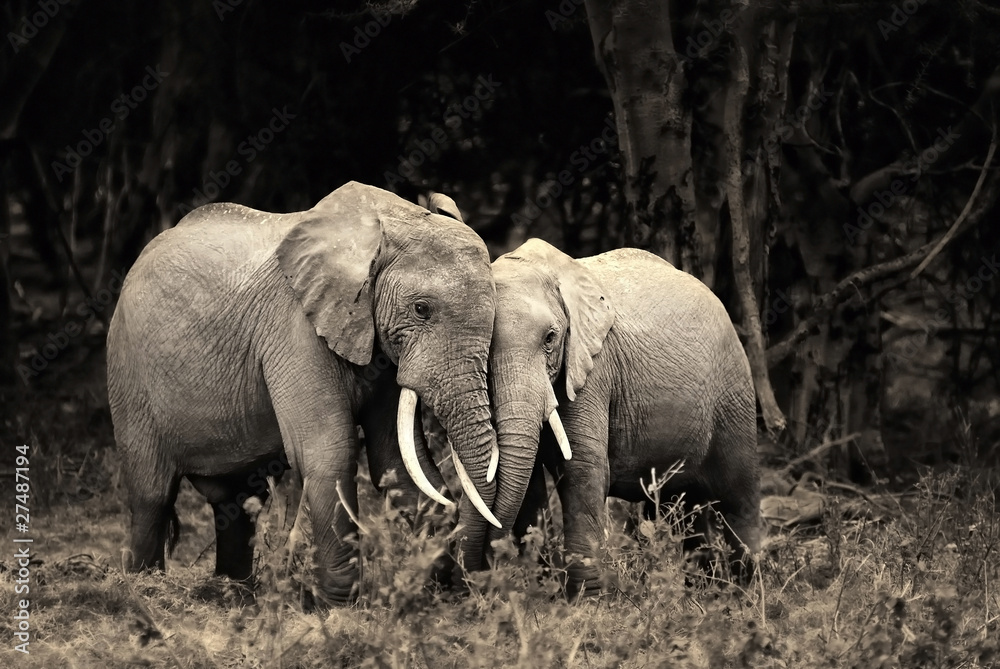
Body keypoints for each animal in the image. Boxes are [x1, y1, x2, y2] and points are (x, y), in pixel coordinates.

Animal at [107, 181, 502, 604]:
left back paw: (233, 595)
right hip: (128, 372)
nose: (469, 584)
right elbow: (330, 452)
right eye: (422, 309)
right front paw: (337, 607)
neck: (383, 225)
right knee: (152, 495)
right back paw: (142, 590)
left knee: (236, 502)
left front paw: (432, 591)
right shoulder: (296, 329)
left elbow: (397, 462)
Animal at [459, 238, 762, 595]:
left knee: (738, 496)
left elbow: (582, 468)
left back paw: (748, 591)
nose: (480, 574)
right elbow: (528, 479)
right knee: (688, 504)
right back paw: (705, 590)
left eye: (550, 339)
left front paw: (586, 597)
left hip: (733, 392)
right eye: (485, 345)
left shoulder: (594, 367)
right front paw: (543, 590)